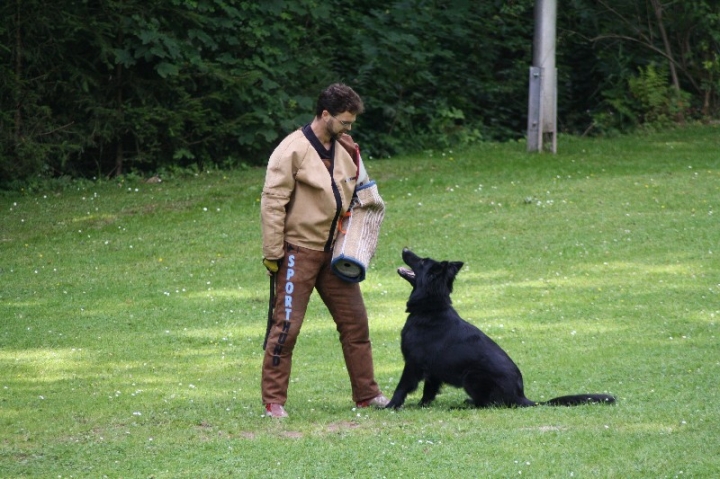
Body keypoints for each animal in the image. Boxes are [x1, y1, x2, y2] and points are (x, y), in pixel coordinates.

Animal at [386, 249, 616, 410]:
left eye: (422, 261)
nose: (405, 248)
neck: (431, 307)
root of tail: (520, 396)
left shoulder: (413, 364)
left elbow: (402, 388)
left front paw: (390, 406)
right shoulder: (432, 370)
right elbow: (428, 392)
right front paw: (422, 406)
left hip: (472, 376)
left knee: (488, 404)